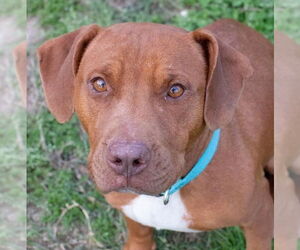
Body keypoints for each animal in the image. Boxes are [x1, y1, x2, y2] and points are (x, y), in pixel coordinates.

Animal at [37, 20, 274, 250]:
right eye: (100, 83)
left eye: (176, 90)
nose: (127, 159)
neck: (167, 193)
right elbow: (139, 233)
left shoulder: (260, 217)